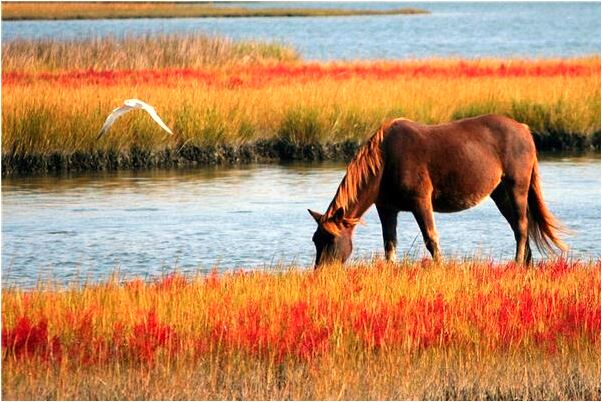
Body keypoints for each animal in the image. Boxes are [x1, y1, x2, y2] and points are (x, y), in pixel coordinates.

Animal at [308, 113, 564, 266]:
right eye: (315, 240)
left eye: (330, 239)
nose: (322, 273)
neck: (385, 161)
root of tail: (524, 129)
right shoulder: (387, 208)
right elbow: (389, 243)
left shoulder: (421, 202)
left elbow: (431, 239)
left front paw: (439, 267)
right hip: (499, 193)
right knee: (518, 226)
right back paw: (526, 264)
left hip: (516, 187)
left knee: (521, 226)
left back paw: (518, 263)